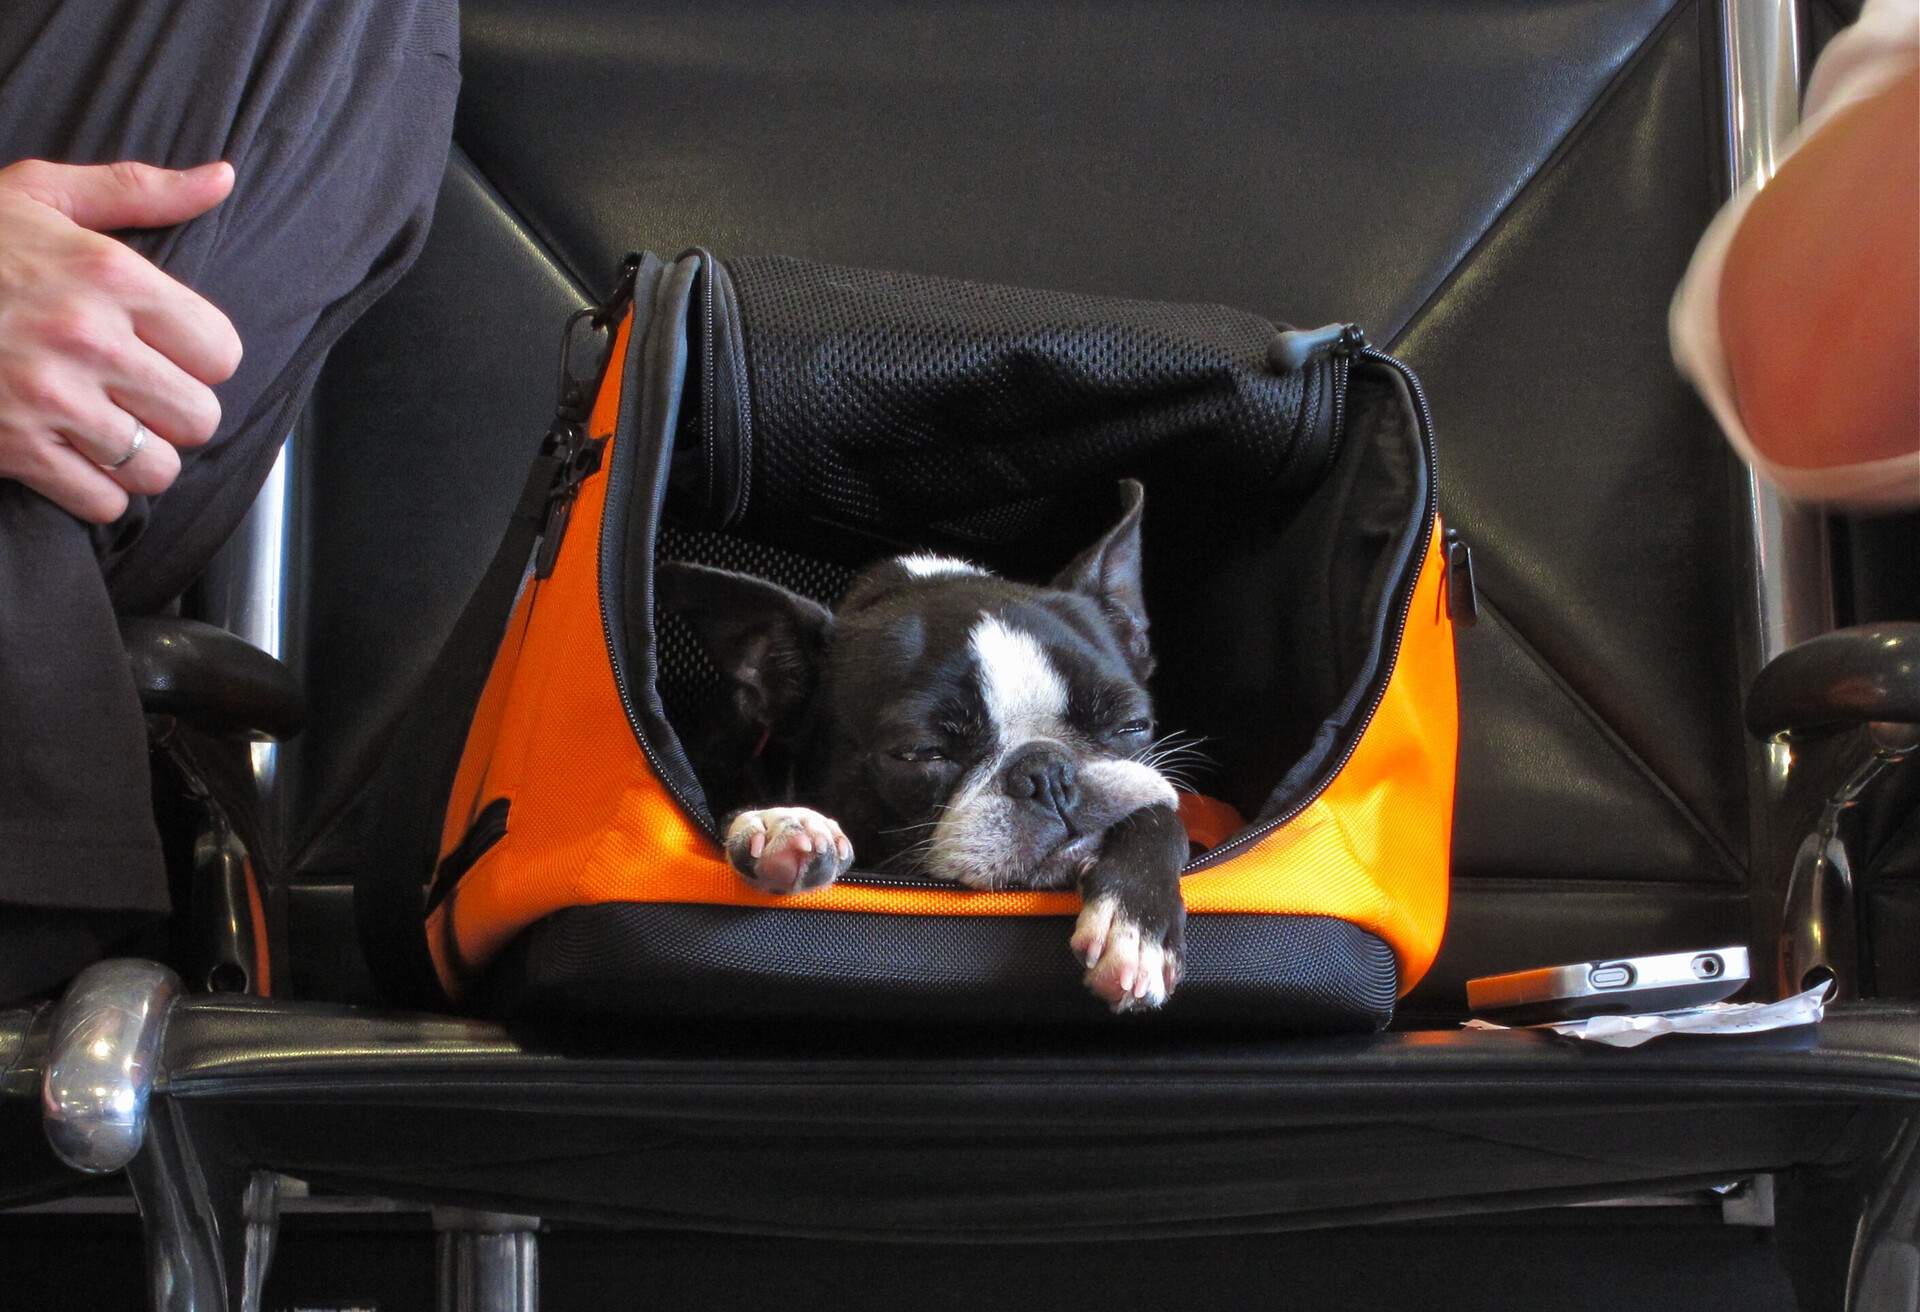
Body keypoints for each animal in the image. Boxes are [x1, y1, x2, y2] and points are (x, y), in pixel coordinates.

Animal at [668, 480, 1190, 1006]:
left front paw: (1135, 924)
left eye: (1132, 725)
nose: (1047, 772)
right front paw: (782, 823)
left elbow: (1160, 813)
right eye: (920, 754)